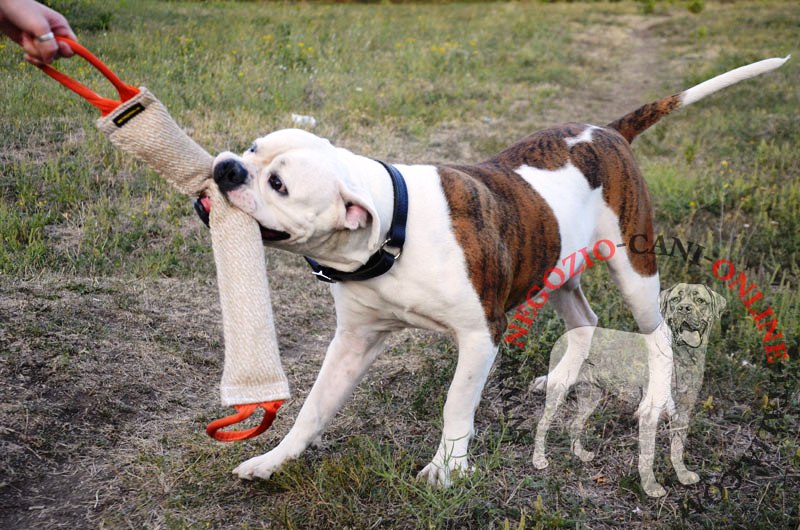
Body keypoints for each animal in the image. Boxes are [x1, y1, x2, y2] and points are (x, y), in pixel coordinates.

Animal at [532, 282, 724, 492]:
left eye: (700, 300)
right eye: (675, 299)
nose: (684, 309)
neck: (682, 356)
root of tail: (566, 335)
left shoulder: (683, 412)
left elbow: (677, 449)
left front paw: (683, 476)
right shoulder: (649, 414)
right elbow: (648, 455)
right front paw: (651, 488)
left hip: (591, 396)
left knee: (574, 423)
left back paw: (580, 454)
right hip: (559, 391)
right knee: (542, 424)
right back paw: (539, 461)